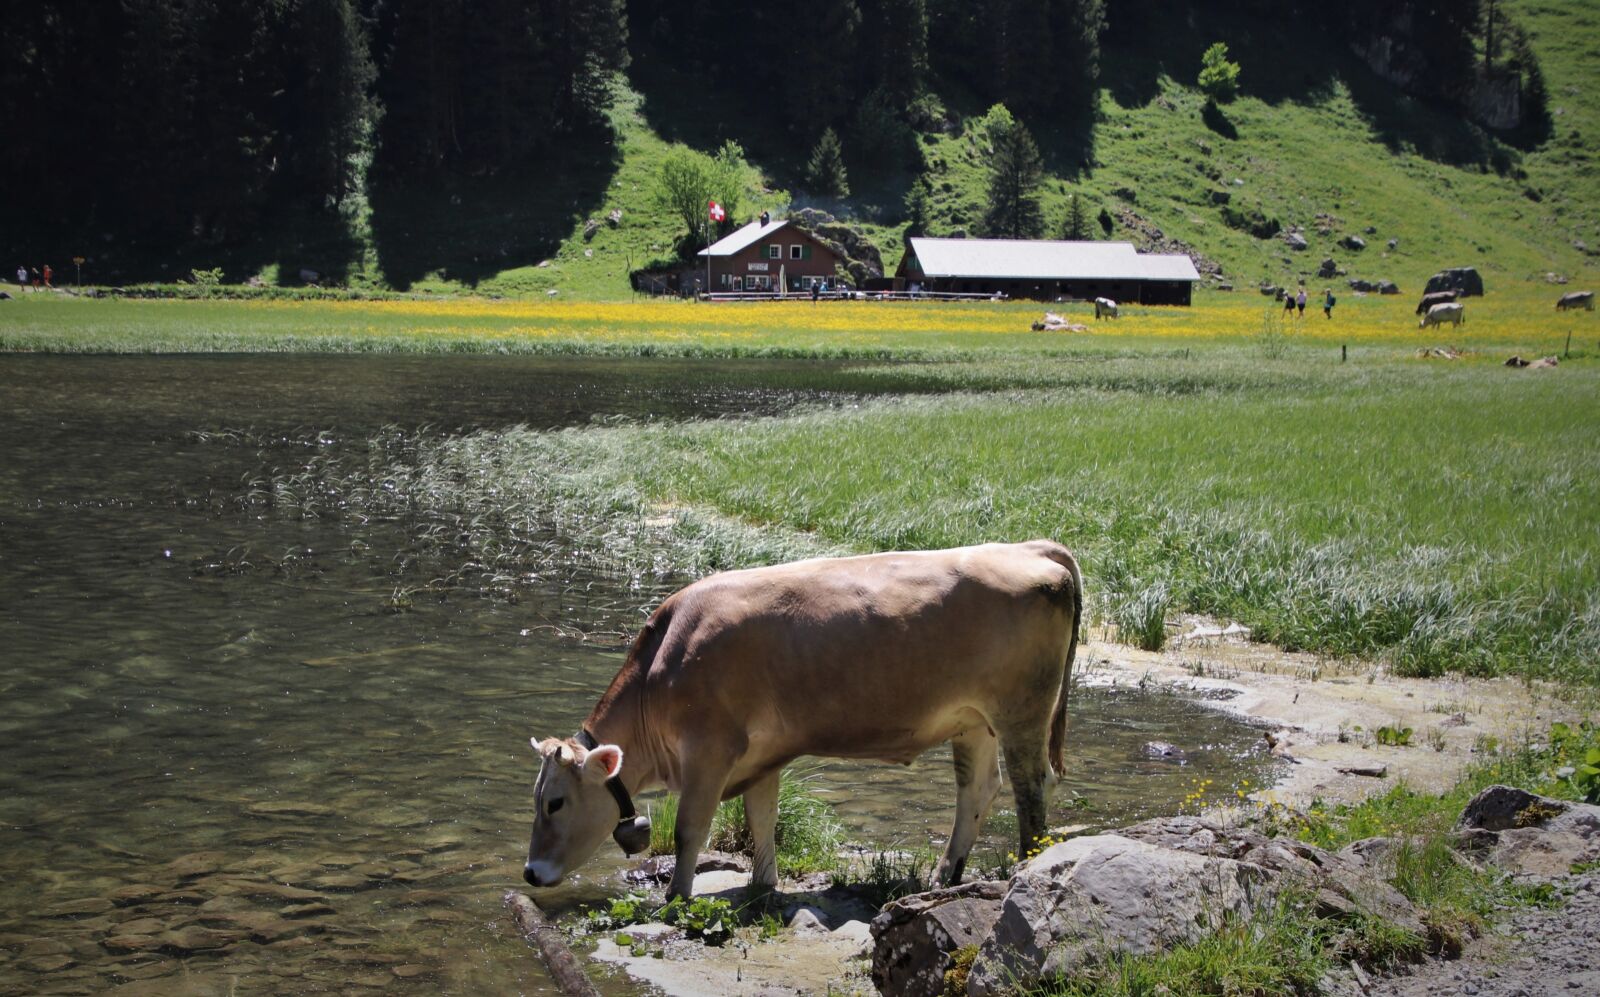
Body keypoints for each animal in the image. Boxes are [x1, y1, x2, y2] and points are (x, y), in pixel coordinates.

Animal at [523, 540, 1083, 901]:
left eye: (555, 803)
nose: (529, 873)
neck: (662, 663)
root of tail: (1029, 547)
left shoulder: (709, 750)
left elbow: (689, 829)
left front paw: (676, 899)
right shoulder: (759, 755)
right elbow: (760, 818)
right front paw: (762, 884)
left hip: (1022, 710)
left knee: (1032, 787)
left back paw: (1024, 867)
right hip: (972, 720)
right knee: (979, 789)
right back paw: (947, 875)